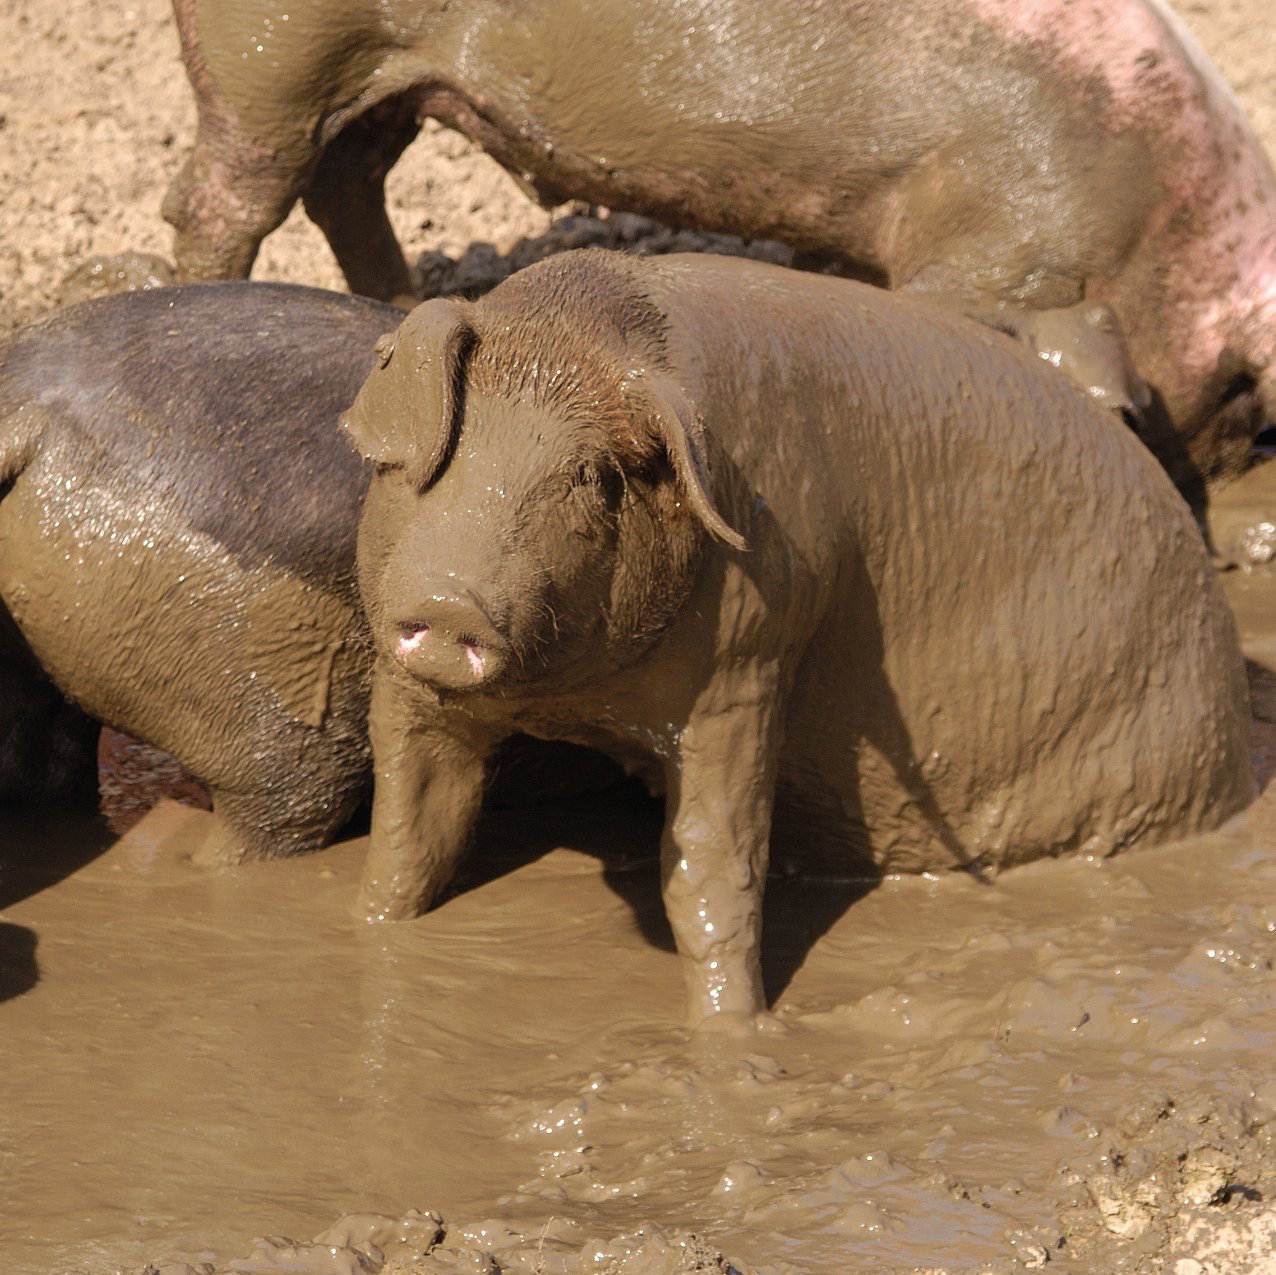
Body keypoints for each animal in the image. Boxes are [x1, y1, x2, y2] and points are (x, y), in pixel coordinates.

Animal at [164, 0, 1276, 483]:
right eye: (1240, 391)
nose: (1225, 479)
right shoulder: (990, 234)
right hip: (273, 63)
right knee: (219, 201)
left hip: (385, 87)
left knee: (346, 182)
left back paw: (392, 311)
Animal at [344, 250, 1255, 1028]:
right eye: (452, 450)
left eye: (590, 475)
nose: (451, 599)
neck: (575, 704)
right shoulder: (407, 673)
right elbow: (410, 832)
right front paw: (367, 933)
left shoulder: (750, 657)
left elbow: (709, 871)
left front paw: (738, 1033)